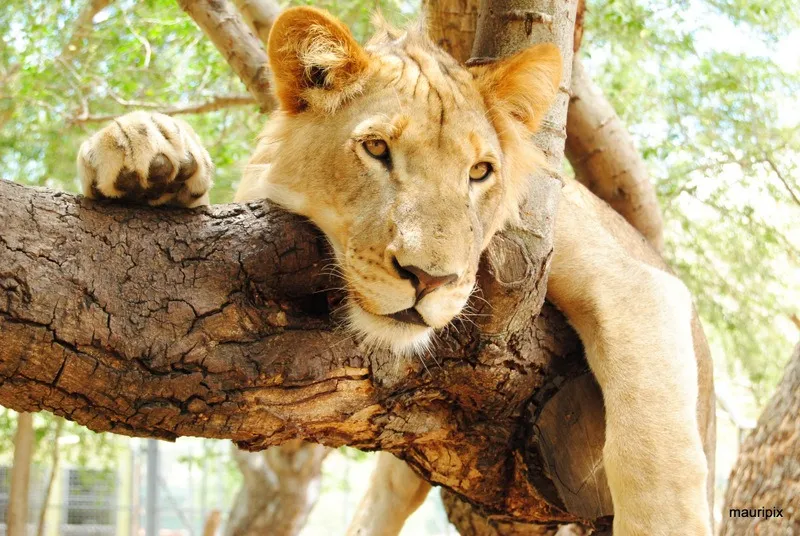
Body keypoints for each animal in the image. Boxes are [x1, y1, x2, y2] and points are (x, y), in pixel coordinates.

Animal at [77, 7, 715, 535]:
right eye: (377, 149)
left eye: (480, 172)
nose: (430, 279)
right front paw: (145, 152)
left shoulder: (632, 280)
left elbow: (655, 456)